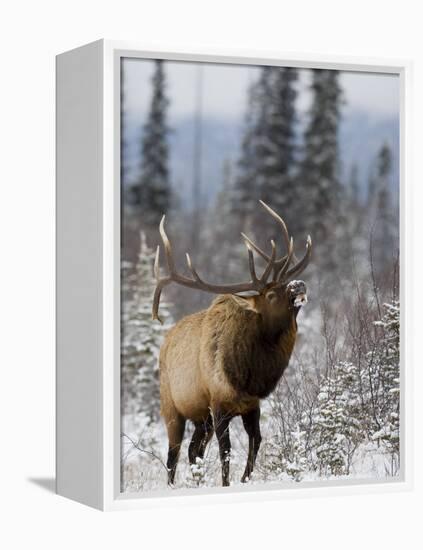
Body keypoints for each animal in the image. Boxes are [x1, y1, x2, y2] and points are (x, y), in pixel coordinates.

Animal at [152, 202, 312, 488]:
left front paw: (244, 478)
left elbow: (256, 442)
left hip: (200, 418)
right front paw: (227, 483)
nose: (299, 284)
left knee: (193, 450)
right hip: (172, 407)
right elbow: (225, 451)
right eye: (271, 295)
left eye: (285, 283)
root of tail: (165, 343)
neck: (249, 375)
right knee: (174, 454)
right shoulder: (218, 405)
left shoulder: (251, 405)